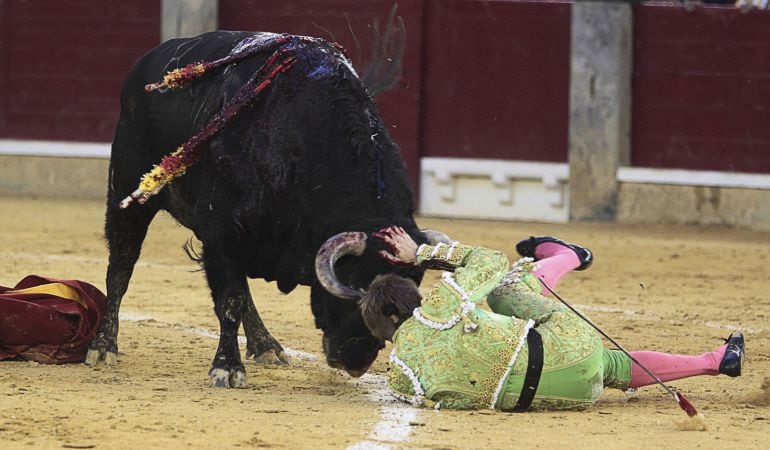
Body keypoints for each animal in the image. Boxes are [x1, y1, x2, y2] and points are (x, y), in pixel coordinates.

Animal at [88, 29, 432, 386]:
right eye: (354, 290)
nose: (356, 363)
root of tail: (152, 58)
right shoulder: (221, 229)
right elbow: (230, 299)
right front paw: (227, 367)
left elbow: (237, 294)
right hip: (126, 194)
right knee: (121, 267)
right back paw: (103, 346)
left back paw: (266, 344)